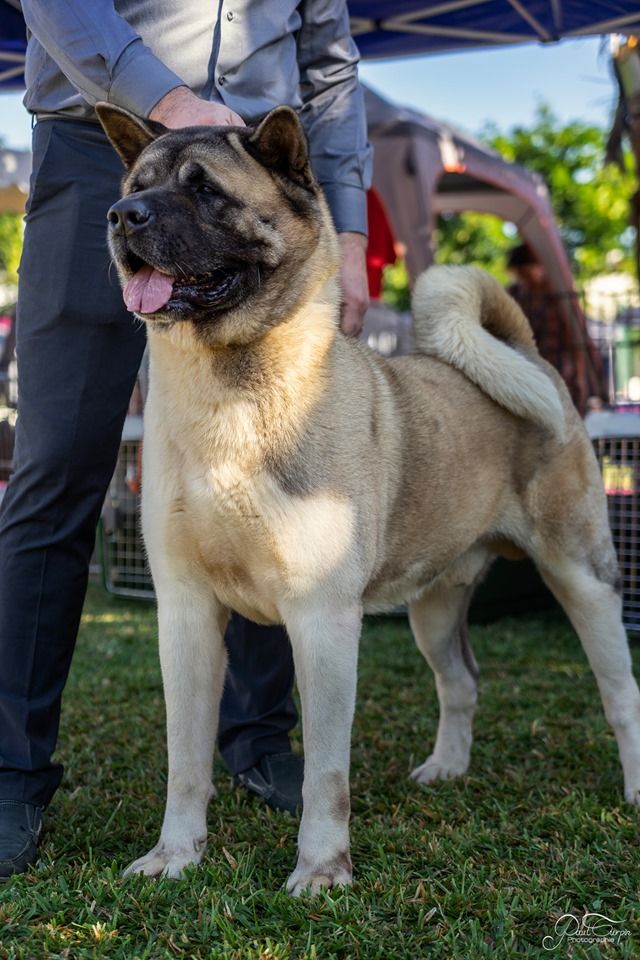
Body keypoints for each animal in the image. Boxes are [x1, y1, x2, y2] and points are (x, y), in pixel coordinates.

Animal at [97, 101, 640, 896]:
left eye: (204, 191)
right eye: (138, 186)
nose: (121, 216)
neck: (232, 396)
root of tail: (532, 357)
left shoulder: (321, 621)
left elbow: (326, 774)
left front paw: (322, 871)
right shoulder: (187, 616)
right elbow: (185, 760)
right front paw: (175, 856)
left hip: (582, 580)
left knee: (620, 691)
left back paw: (634, 789)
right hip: (435, 607)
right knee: (461, 682)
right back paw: (446, 769)